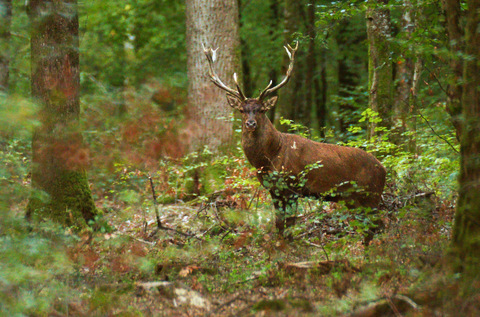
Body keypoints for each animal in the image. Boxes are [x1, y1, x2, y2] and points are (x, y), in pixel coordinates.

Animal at [202, 42, 386, 242]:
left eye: (261, 110)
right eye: (242, 110)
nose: (250, 123)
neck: (270, 157)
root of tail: (384, 169)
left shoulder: (292, 187)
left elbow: (289, 226)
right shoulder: (274, 190)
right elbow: (279, 225)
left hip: (371, 194)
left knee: (378, 225)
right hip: (354, 199)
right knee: (370, 227)